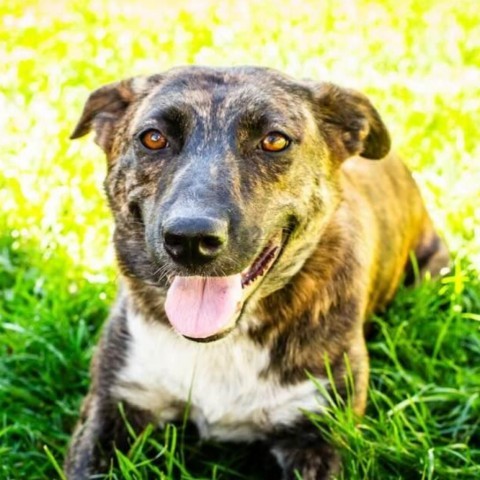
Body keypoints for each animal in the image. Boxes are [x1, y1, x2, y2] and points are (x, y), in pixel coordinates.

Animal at [64, 65, 450, 478]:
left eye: (275, 141)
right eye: (153, 138)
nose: (190, 238)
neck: (222, 342)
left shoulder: (319, 435)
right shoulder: (112, 405)